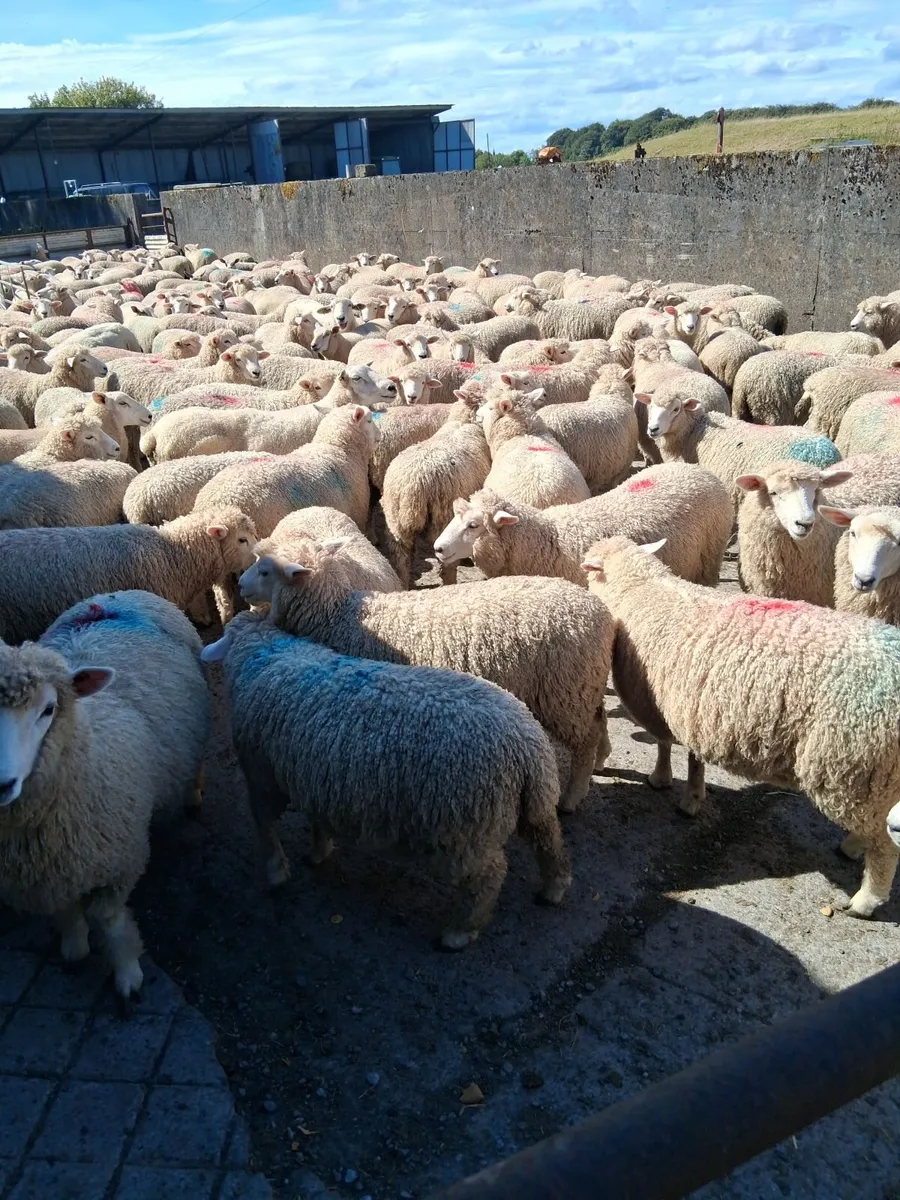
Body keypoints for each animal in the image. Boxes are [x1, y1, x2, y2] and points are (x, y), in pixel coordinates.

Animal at [0, 590, 210, 997]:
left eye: (48, 709)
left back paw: (192, 795)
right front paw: (75, 946)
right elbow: (65, 911)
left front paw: (128, 972)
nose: (1, 783)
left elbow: (108, 919)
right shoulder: (47, 876)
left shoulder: (121, 860)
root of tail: (121, 594)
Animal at [200, 611, 570, 945]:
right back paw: (554, 888)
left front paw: (277, 872)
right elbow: (316, 819)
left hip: (465, 829)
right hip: (531, 803)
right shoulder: (315, 777)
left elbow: (264, 826)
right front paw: (319, 851)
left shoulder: (262, 777)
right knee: (548, 839)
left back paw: (460, 932)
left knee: (488, 877)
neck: (266, 654)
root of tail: (525, 745)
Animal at [239, 543, 612, 813]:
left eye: (265, 570)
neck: (336, 614)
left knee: (585, 739)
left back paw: (572, 796)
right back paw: (602, 759)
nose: (240, 585)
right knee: (600, 720)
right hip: (584, 686)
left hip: (565, 691)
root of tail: (601, 613)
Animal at [381, 394, 490, 586]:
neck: (464, 422)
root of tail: (414, 485)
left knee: (400, 557)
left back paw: (404, 584)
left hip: (396, 521)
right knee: (447, 561)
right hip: (443, 517)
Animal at [581, 535, 900, 917]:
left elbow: (663, 743)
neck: (641, 589)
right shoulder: (694, 708)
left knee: (886, 846)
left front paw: (661, 780)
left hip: (854, 766)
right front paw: (692, 798)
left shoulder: (653, 702)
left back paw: (865, 898)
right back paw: (852, 847)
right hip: (877, 778)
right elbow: (692, 758)